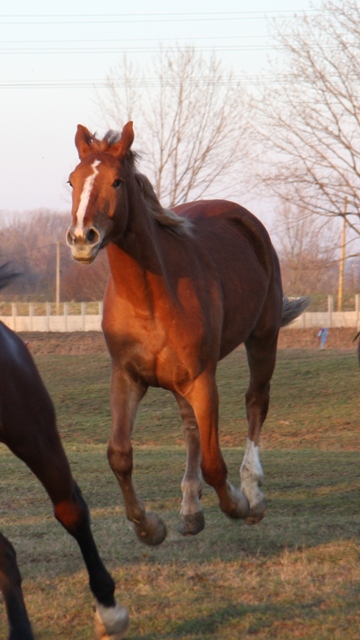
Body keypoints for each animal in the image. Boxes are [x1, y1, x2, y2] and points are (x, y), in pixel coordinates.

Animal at [66, 122, 308, 548]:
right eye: (72, 181)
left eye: (117, 181)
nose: (82, 238)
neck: (149, 297)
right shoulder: (127, 377)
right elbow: (119, 454)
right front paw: (149, 527)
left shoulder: (202, 378)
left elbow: (214, 462)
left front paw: (238, 504)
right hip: (180, 381)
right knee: (192, 429)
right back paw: (191, 510)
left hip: (262, 339)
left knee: (256, 402)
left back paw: (253, 494)